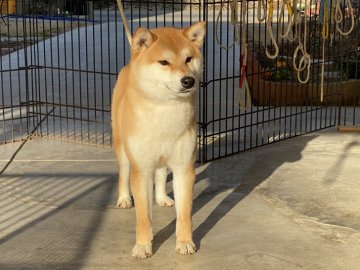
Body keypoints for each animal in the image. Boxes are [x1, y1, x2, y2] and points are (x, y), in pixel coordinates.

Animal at [111, 22, 205, 258]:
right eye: (164, 62)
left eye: (188, 59)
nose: (188, 80)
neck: (166, 110)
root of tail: (130, 65)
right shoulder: (141, 169)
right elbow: (144, 216)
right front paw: (143, 246)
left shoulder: (184, 168)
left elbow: (185, 215)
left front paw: (185, 242)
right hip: (123, 148)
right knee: (123, 172)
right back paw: (124, 198)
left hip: (163, 156)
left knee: (161, 174)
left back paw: (162, 197)